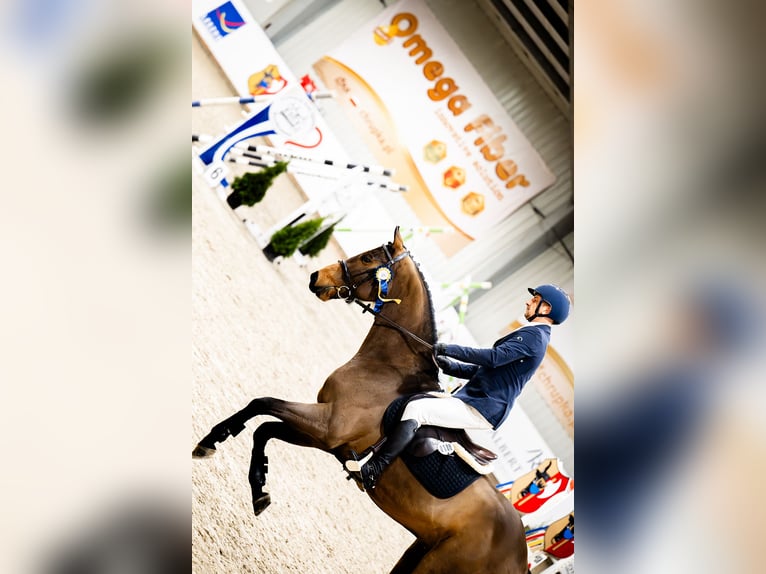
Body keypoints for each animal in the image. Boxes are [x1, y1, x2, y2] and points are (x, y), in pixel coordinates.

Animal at [193, 227, 528, 573]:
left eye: (368, 258)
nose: (316, 276)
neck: (386, 365)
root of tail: (520, 556)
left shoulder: (328, 426)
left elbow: (262, 403)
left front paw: (213, 440)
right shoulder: (326, 438)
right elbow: (264, 428)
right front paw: (259, 487)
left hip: (437, 564)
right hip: (419, 550)